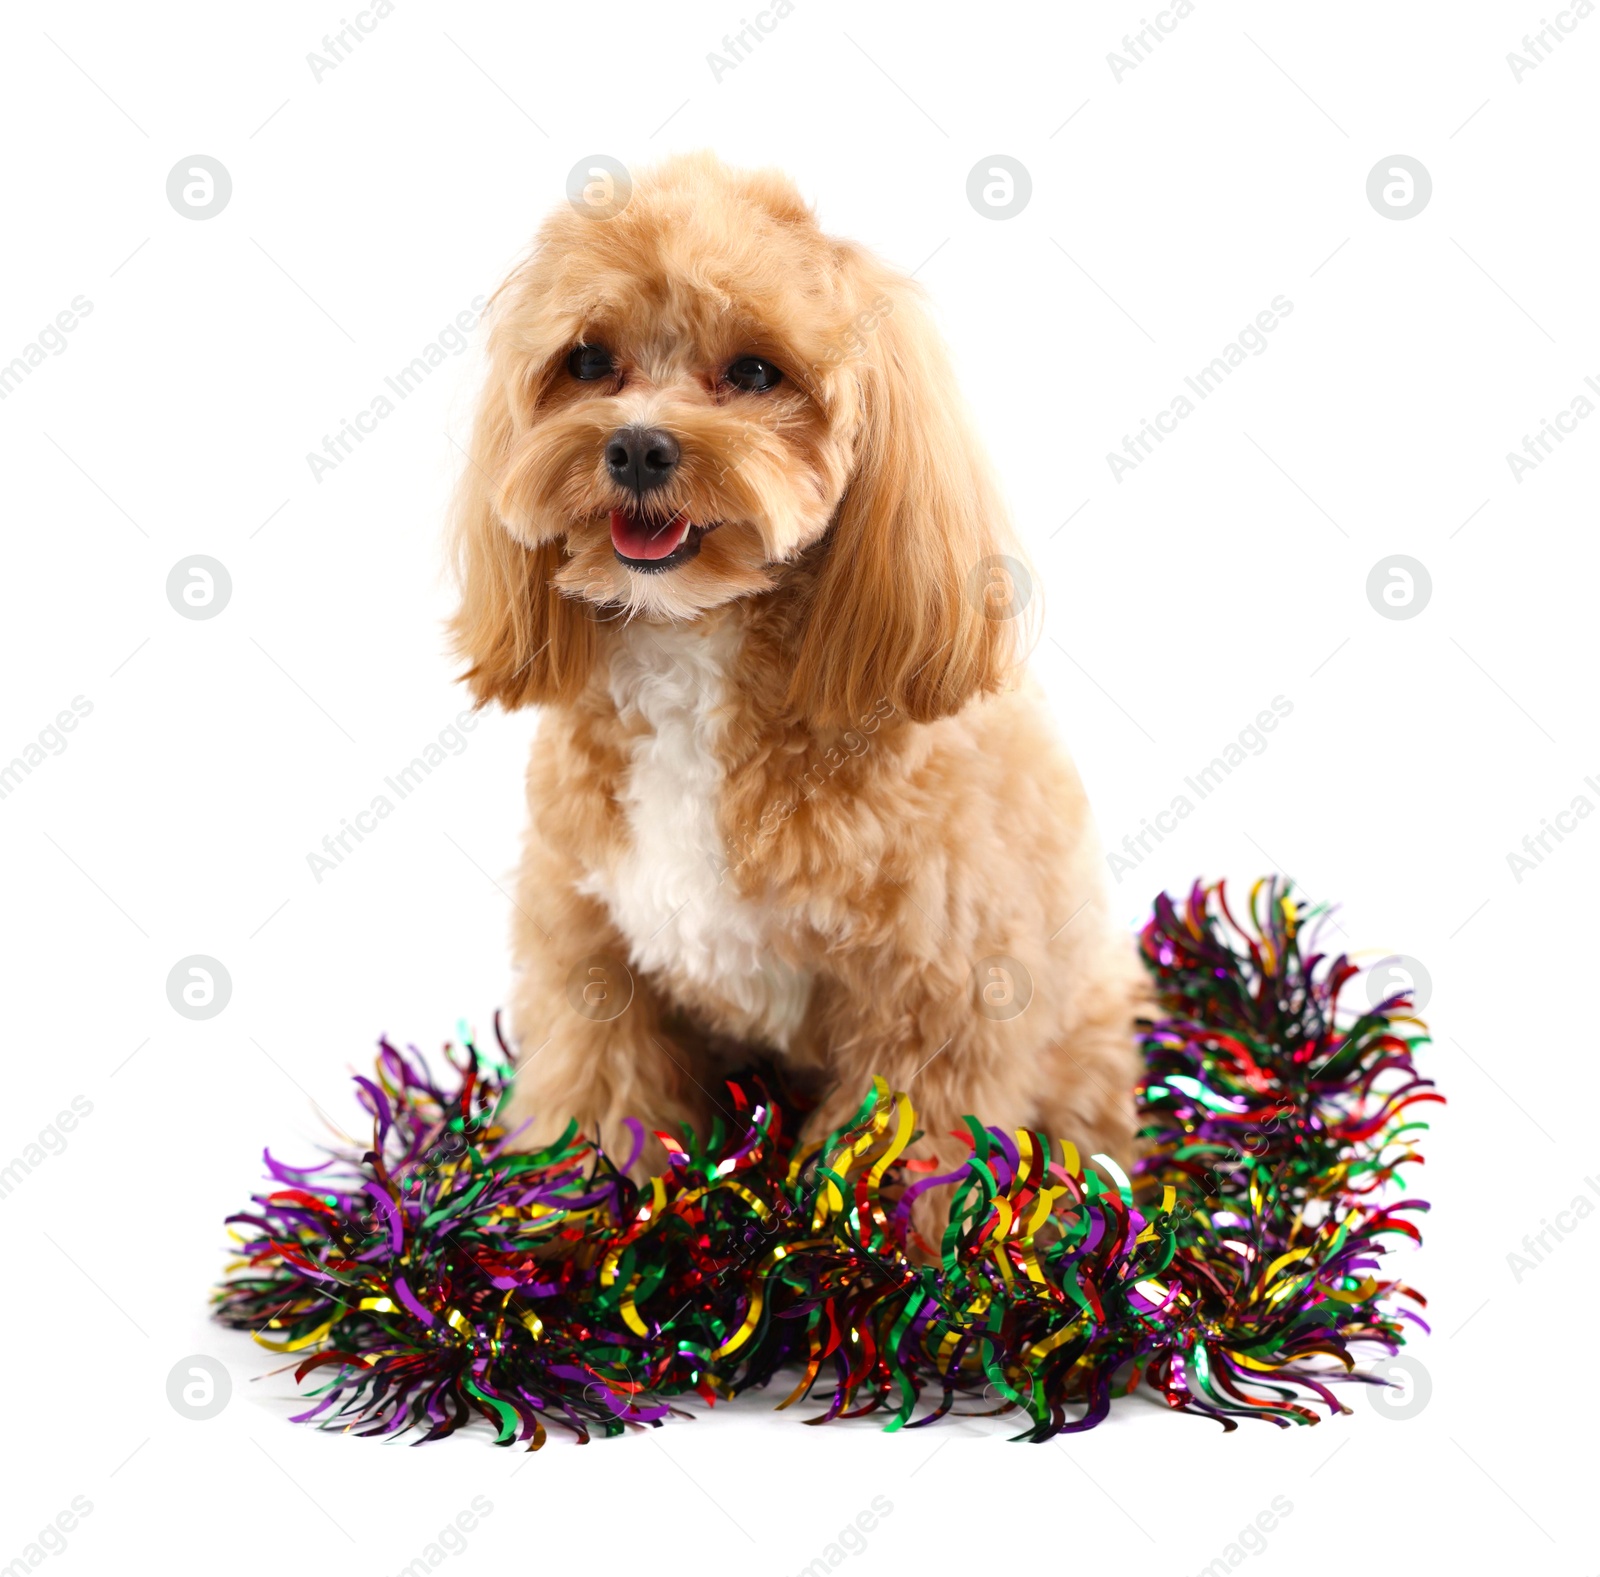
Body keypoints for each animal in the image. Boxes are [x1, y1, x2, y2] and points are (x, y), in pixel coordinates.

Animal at [454, 150, 1152, 1228]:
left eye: (753, 371)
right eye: (588, 361)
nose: (639, 446)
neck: (699, 647)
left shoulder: (933, 998)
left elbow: (896, 1162)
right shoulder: (591, 957)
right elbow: (595, 1106)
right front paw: (569, 1237)